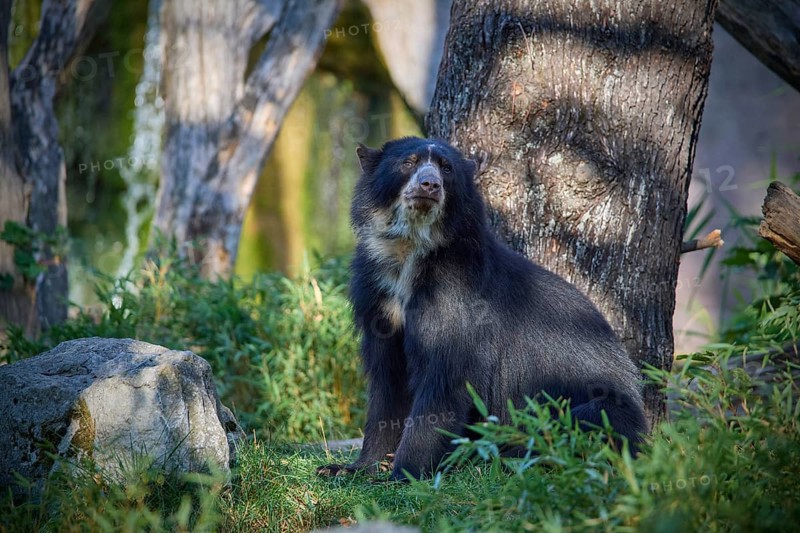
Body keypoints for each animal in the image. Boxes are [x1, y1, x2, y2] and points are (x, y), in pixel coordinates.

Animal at [317, 137, 648, 481]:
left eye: (446, 169)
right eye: (408, 162)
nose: (429, 185)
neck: (411, 250)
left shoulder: (453, 299)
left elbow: (445, 380)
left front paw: (404, 473)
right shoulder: (378, 301)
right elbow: (386, 383)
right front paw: (348, 468)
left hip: (605, 409)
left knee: (587, 420)